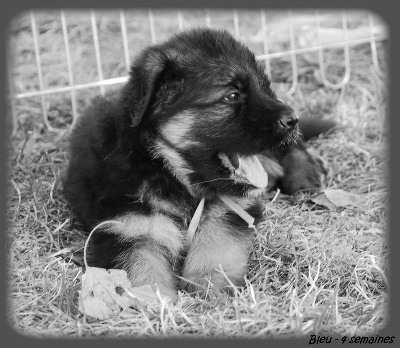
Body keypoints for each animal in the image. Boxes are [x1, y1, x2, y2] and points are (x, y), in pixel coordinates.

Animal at [64, 27, 330, 300]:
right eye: (233, 96)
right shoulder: (126, 228)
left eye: (266, 88)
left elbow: (217, 242)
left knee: (294, 148)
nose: (293, 119)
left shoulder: (229, 209)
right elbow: (140, 269)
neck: (167, 169)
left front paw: (210, 287)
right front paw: (156, 302)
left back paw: (303, 178)